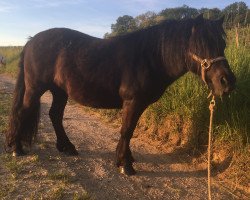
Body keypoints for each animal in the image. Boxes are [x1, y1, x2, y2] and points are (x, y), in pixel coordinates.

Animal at [6, 14, 236, 175]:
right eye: (200, 44)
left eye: (223, 44)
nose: (227, 83)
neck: (151, 56)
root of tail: (31, 41)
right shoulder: (132, 102)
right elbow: (126, 131)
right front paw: (125, 165)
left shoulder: (138, 104)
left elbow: (130, 131)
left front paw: (127, 158)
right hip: (35, 88)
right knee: (22, 112)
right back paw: (17, 148)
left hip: (60, 91)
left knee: (55, 115)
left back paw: (67, 147)